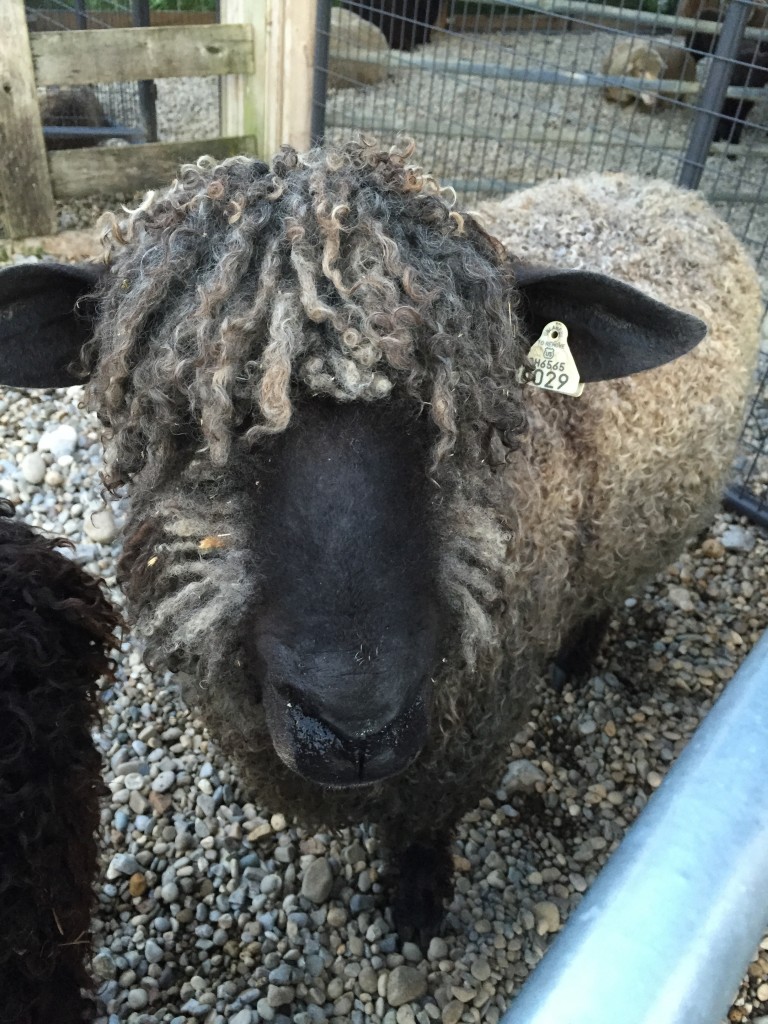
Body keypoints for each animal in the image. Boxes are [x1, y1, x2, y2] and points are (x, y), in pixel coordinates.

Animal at [0, 140, 761, 937]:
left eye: (469, 414)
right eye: (182, 423)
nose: (355, 727)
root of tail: (657, 186)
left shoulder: (463, 750)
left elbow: (425, 828)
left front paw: (419, 901)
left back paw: (577, 657)